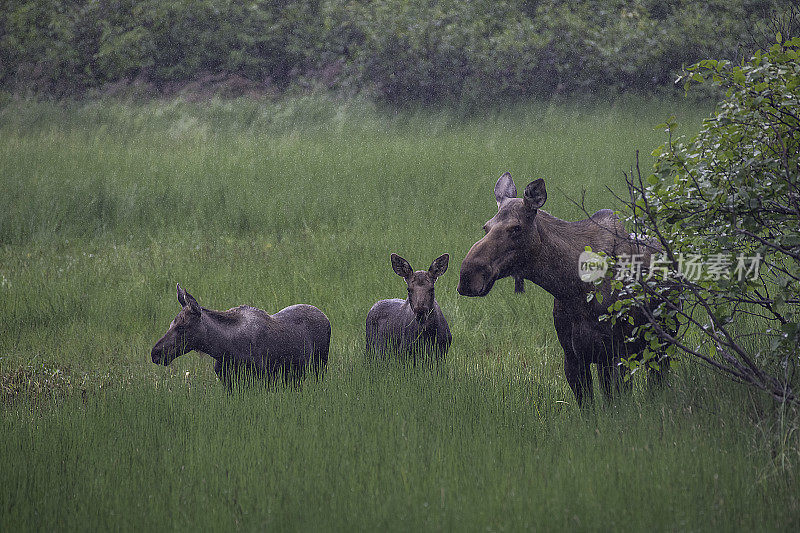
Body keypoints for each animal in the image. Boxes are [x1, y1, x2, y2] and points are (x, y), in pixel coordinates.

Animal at [152, 284, 330, 384]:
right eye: (171, 324)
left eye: (182, 327)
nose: (155, 353)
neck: (223, 350)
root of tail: (325, 316)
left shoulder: (262, 377)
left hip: (320, 365)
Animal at [456, 172, 664, 406]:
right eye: (486, 227)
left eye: (516, 228)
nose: (468, 276)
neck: (572, 289)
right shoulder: (573, 357)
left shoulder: (619, 354)